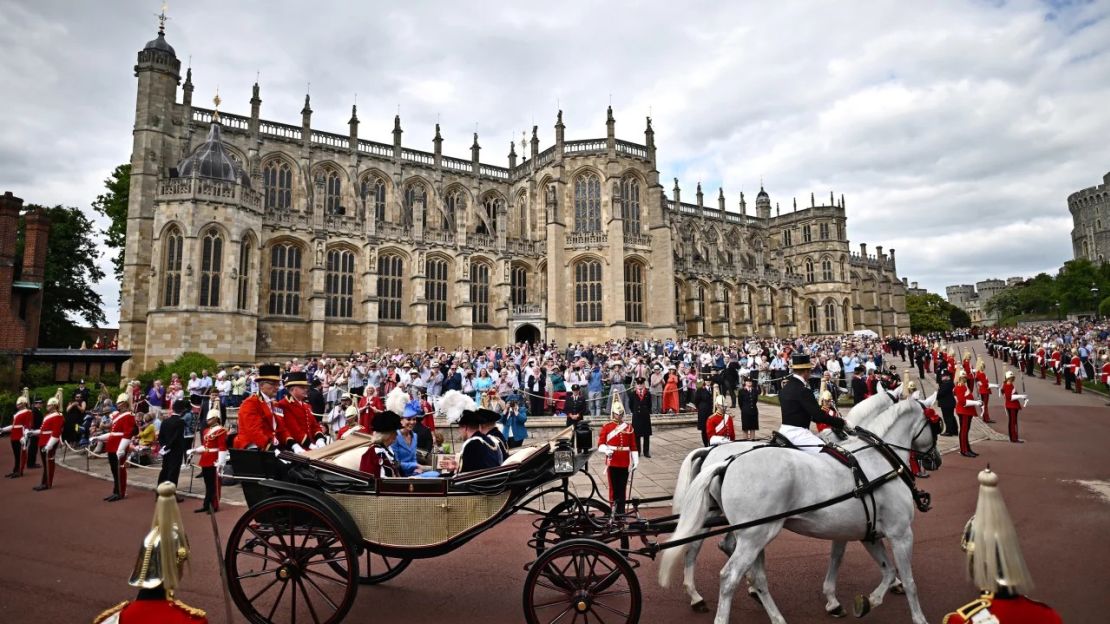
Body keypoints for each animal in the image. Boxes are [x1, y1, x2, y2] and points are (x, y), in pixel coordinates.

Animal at [661, 393, 941, 621]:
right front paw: (916, 614)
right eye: (937, 425)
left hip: (741, 526)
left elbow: (860, 562)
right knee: (722, 569)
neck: (876, 459)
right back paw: (708, 599)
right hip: (751, 531)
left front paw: (847, 600)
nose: (935, 459)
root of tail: (722, 459)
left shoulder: (859, 530)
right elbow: (909, 579)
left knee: (726, 557)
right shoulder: (900, 533)